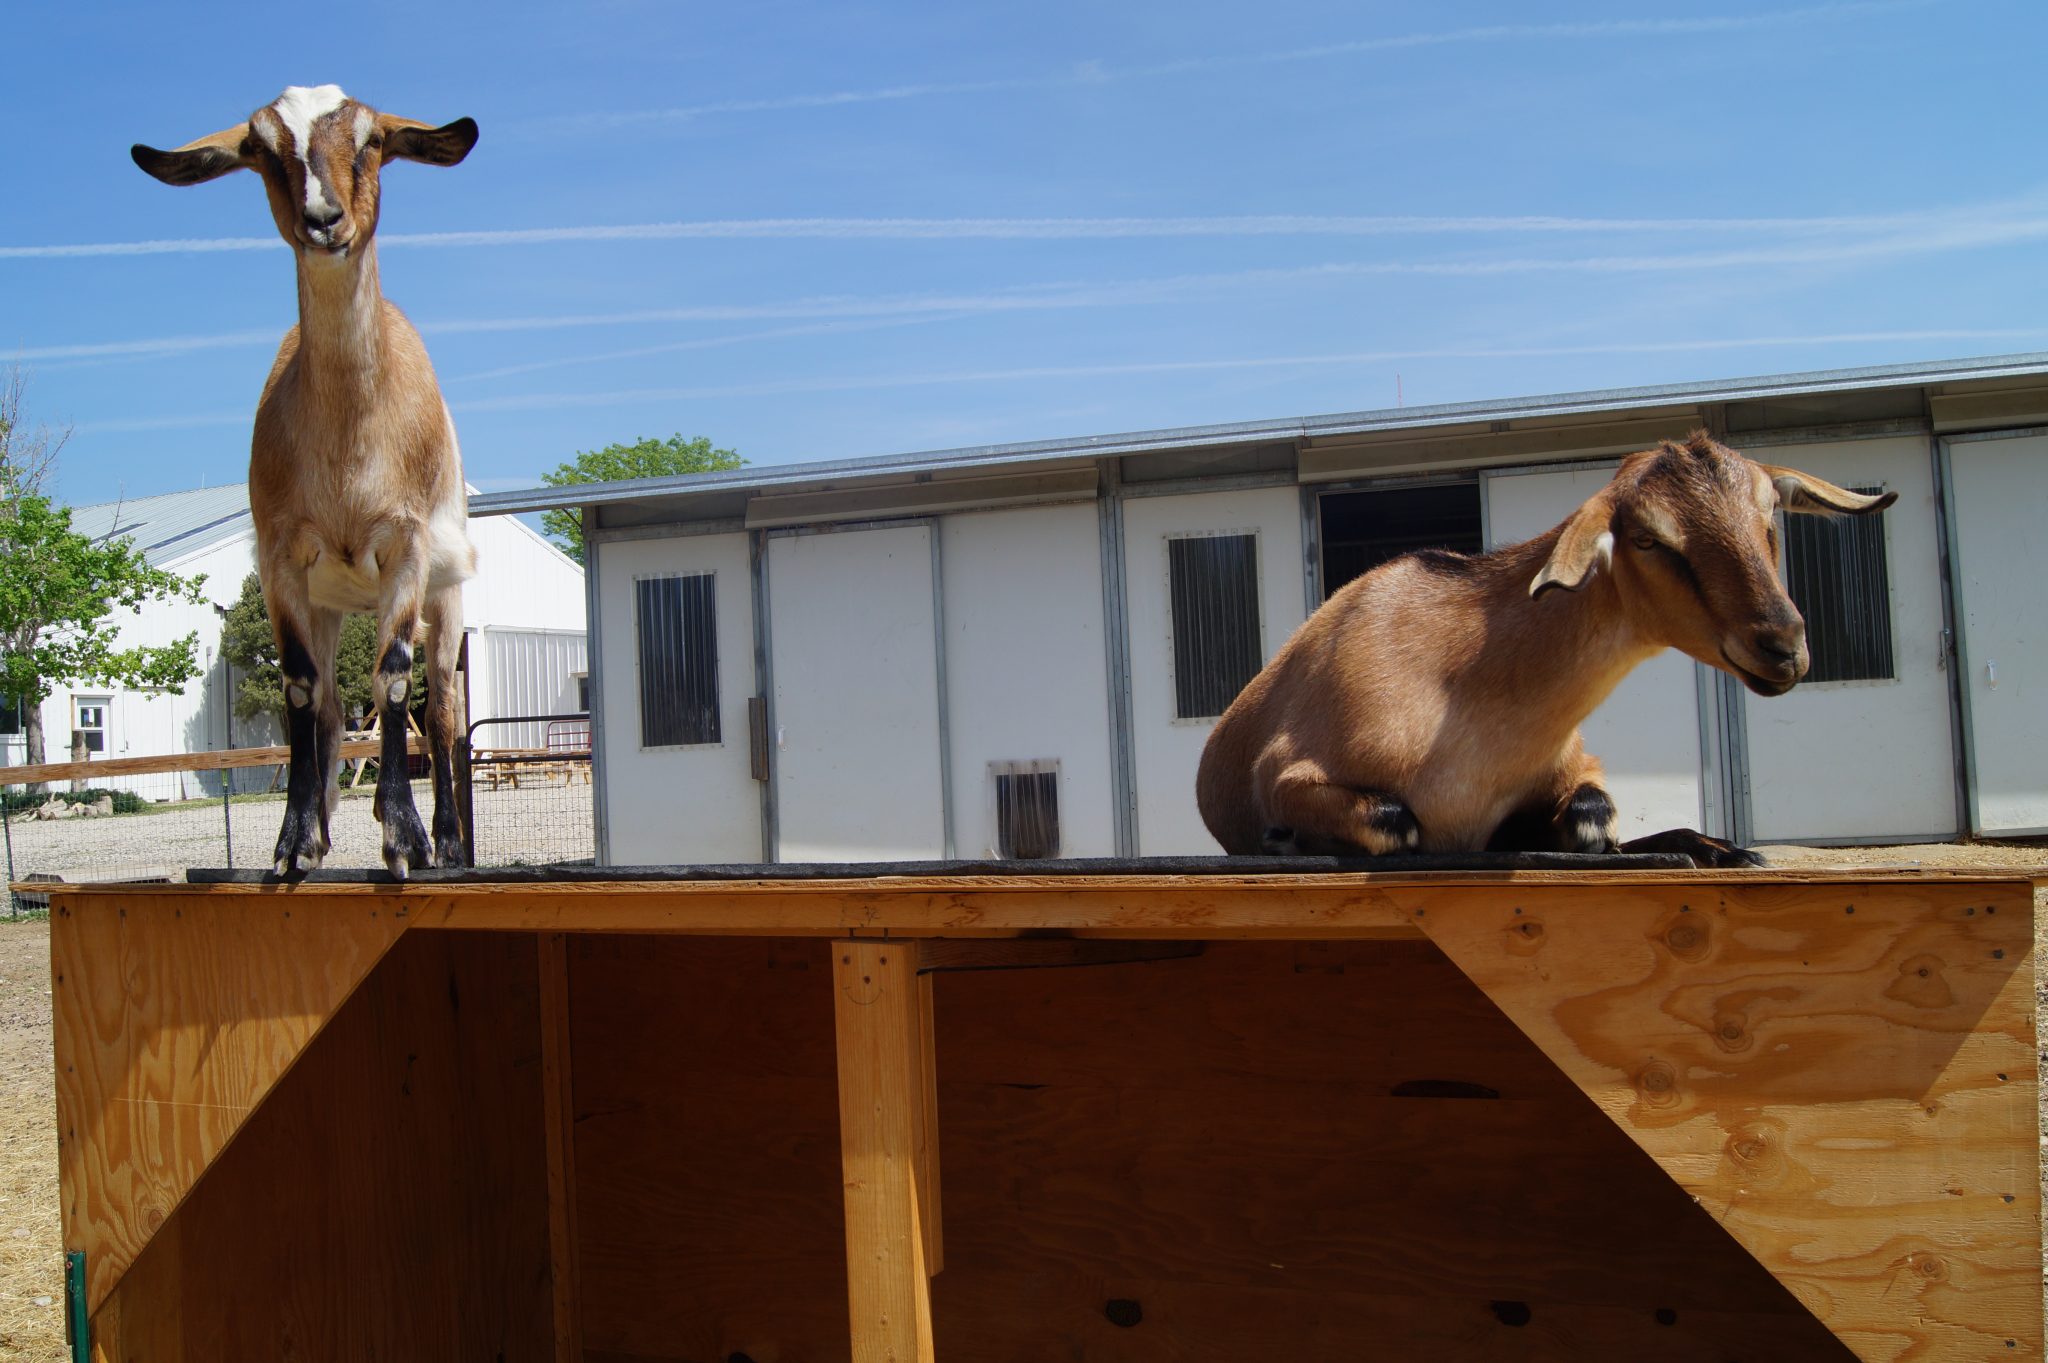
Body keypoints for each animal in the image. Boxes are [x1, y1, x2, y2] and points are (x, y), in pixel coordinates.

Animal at [136, 87, 479, 871]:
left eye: (373, 141)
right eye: (261, 150)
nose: (324, 219)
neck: (349, 445)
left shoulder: (406, 547)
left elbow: (392, 677)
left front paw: (405, 836)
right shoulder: (282, 559)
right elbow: (299, 691)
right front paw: (296, 839)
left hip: (447, 595)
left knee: (444, 706)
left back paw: (448, 838)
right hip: (330, 601)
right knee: (326, 706)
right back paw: (325, 821)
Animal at [1196, 429, 1892, 863]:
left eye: (1769, 520)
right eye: (1650, 538)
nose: (1783, 646)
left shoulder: (1577, 767)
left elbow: (1592, 818)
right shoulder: (1289, 774)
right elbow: (1396, 822)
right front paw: (1284, 840)